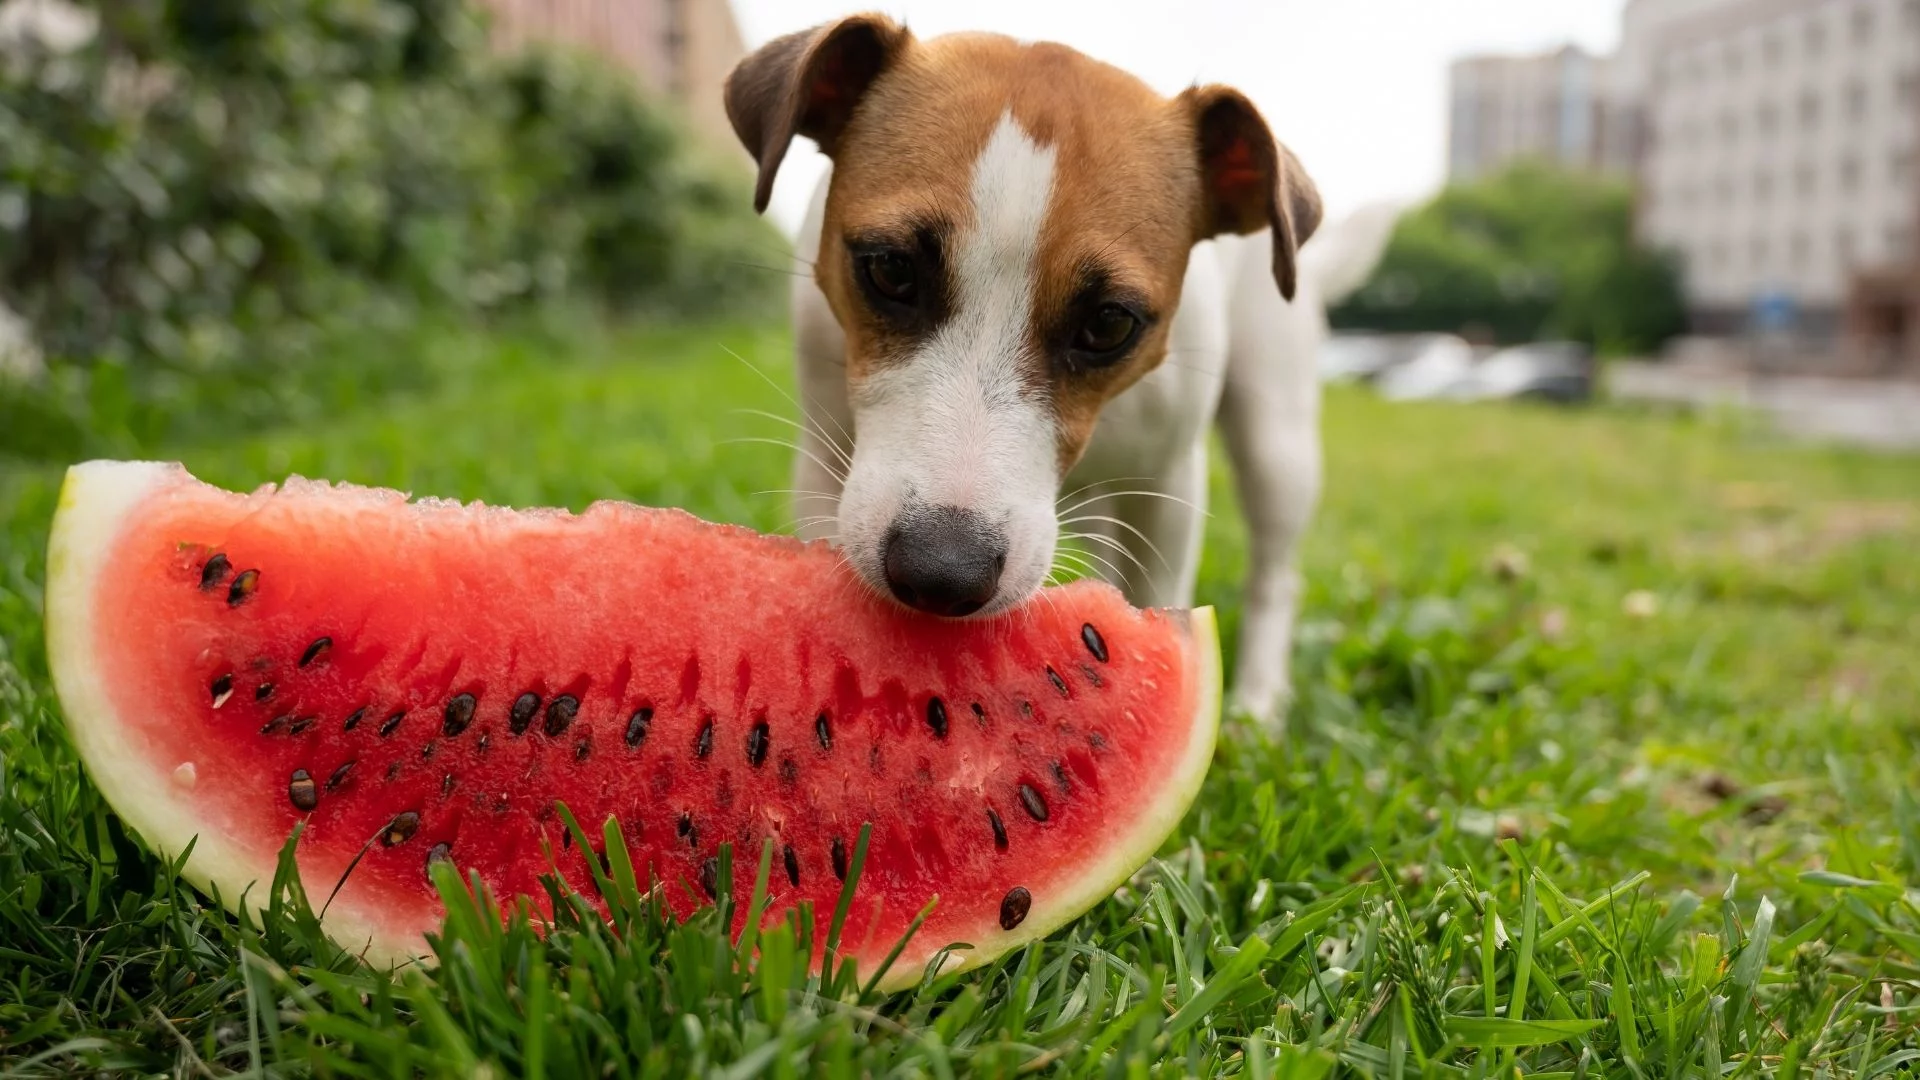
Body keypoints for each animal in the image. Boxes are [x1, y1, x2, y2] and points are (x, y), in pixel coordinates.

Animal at [721, 12, 1397, 722]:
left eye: (1109, 323)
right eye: (891, 270)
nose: (942, 572)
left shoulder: (1169, 481)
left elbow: (1163, 593)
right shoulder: (827, 452)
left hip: (1276, 439)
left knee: (1275, 572)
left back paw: (1260, 698)